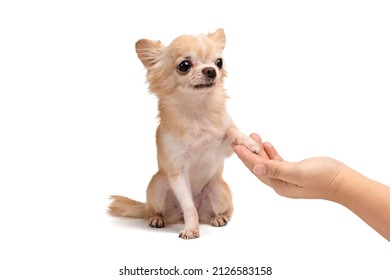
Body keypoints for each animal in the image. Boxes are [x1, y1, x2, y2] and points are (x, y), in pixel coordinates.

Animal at [109, 27, 258, 238]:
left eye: (219, 62)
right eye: (185, 65)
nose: (211, 70)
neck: (196, 111)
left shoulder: (222, 147)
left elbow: (230, 129)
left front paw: (249, 142)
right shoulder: (176, 171)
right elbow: (188, 206)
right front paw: (191, 229)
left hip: (220, 191)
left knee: (226, 210)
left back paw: (219, 218)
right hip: (156, 186)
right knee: (154, 210)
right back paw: (157, 219)